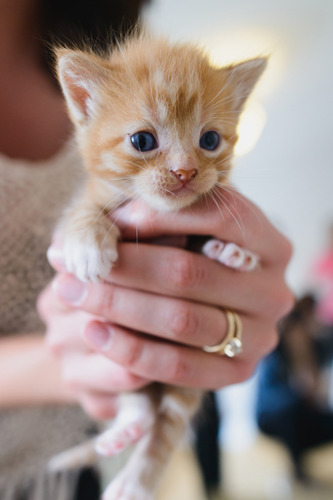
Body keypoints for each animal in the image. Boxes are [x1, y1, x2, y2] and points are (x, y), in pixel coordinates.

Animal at [51, 35, 264, 500]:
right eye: (142, 141)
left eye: (209, 139)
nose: (185, 172)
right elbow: (81, 208)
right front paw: (87, 242)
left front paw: (230, 251)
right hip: (129, 369)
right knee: (143, 410)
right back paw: (123, 434)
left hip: (186, 382)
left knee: (166, 420)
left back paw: (134, 481)